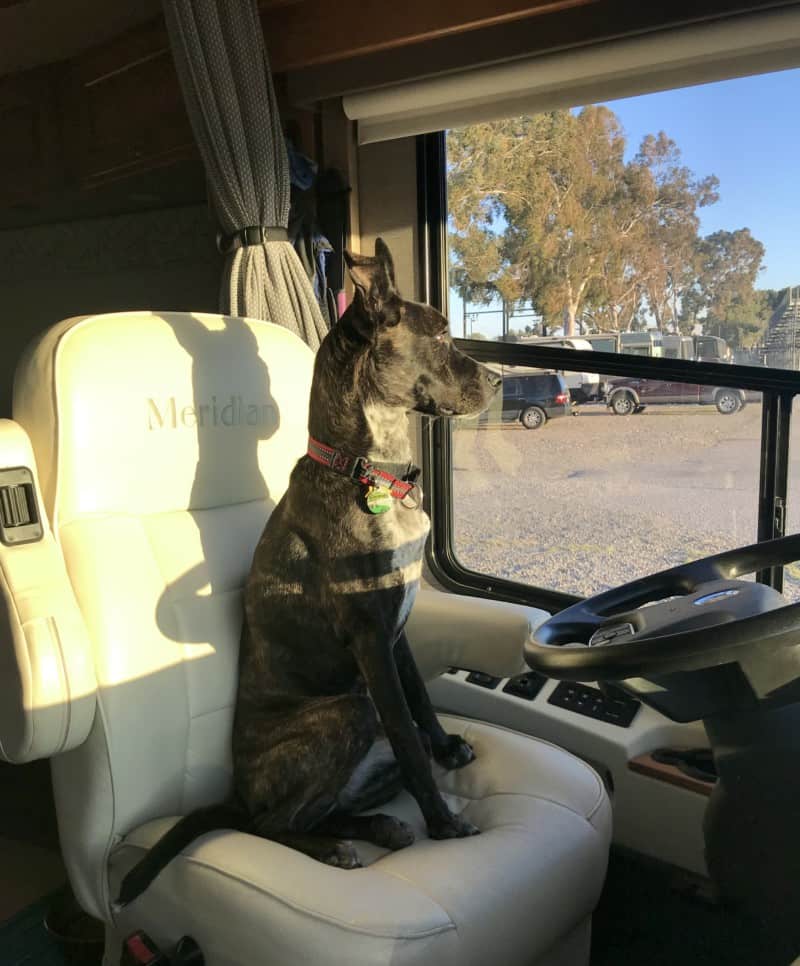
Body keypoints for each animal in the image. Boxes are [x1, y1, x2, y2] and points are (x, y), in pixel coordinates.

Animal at [119, 238, 500, 904]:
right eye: (441, 334)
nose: (502, 382)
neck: (364, 471)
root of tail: (238, 795)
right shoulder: (371, 640)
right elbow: (407, 733)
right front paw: (445, 822)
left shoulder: (395, 634)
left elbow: (422, 704)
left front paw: (447, 749)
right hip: (349, 711)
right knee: (273, 823)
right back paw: (335, 847)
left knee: (322, 809)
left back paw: (377, 827)